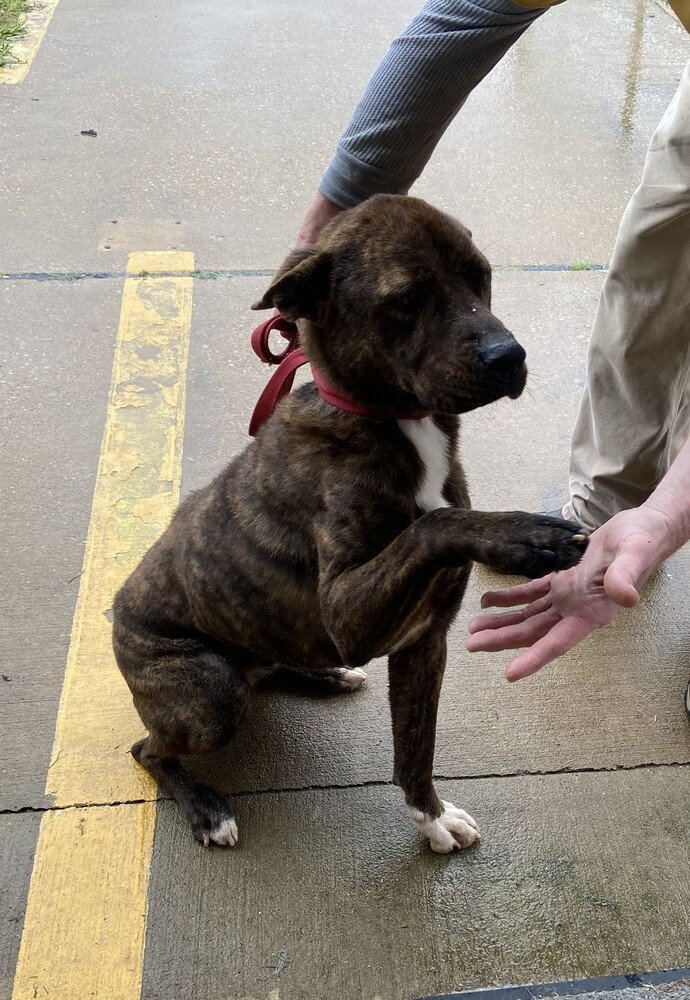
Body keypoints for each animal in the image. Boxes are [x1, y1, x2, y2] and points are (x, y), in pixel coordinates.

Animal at [114, 193, 584, 852]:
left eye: (482, 276)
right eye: (406, 298)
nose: (510, 357)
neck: (398, 424)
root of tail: (114, 613)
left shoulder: (423, 641)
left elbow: (415, 749)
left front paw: (430, 817)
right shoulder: (348, 610)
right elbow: (435, 523)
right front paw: (525, 536)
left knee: (267, 665)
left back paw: (325, 674)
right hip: (210, 694)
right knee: (150, 749)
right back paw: (206, 807)